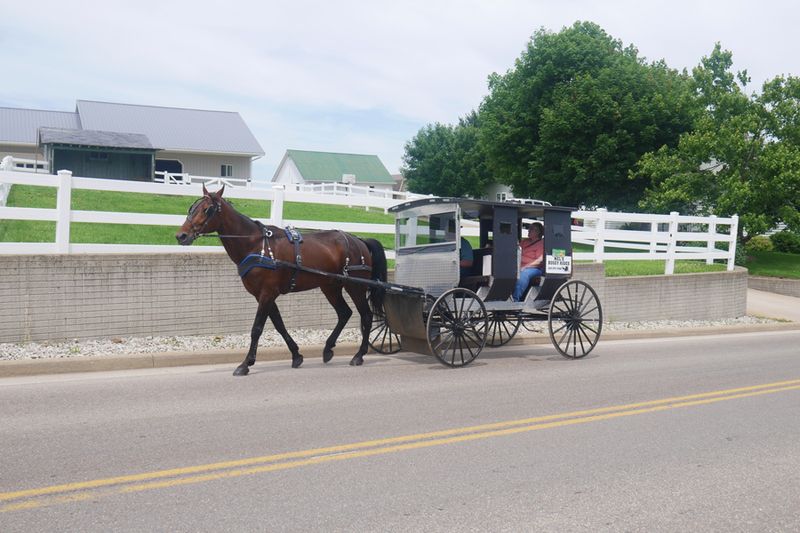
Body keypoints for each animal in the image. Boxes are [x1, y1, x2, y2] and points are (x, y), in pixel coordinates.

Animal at [175, 185, 387, 376]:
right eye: (191, 208)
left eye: (207, 209)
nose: (181, 235)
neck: (256, 245)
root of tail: (359, 240)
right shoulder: (263, 295)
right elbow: (279, 324)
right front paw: (296, 355)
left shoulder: (267, 293)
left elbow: (257, 328)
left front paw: (245, 364)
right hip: (330, 286)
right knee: (344, 313)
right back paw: (328, 349)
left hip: (355, 286)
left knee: (366, 316)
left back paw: (359, 355)